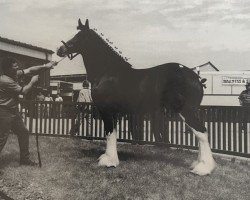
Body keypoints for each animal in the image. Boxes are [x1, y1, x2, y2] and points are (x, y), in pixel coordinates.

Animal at [56, 18, 215, 175]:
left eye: (79, 36)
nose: (60, 50)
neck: (108, 72)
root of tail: (196, 77)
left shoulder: (107, 110)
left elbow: (109, 133)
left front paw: (109, 161)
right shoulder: (114, 112)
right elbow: (112, 133)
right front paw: (110, 158)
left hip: (186, 110)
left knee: (201, 132)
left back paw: (203, 168)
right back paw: (198, 164)